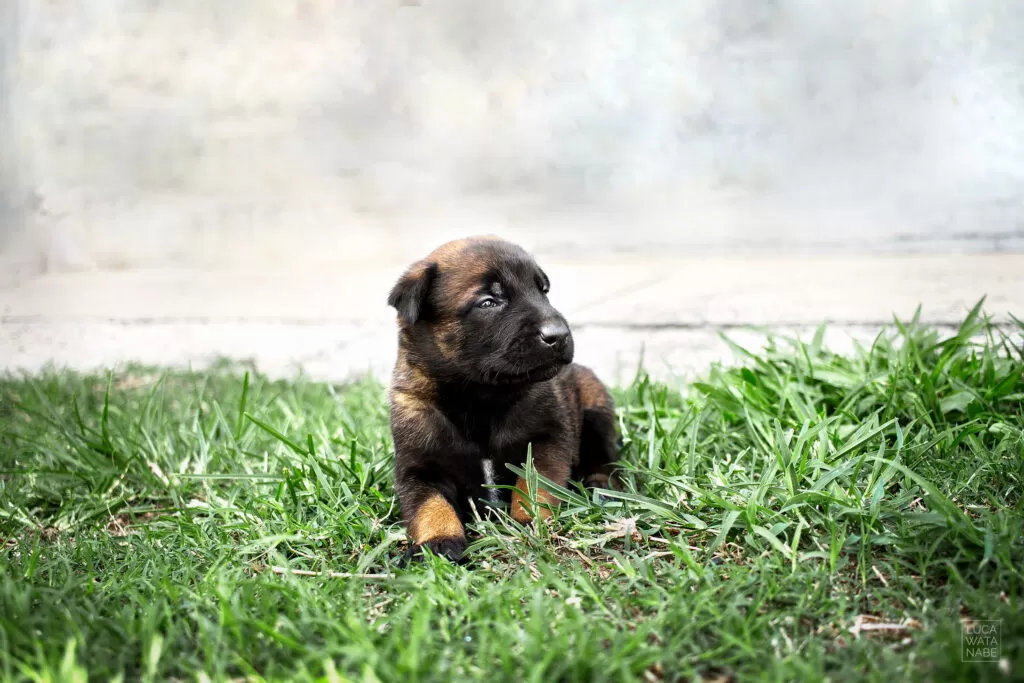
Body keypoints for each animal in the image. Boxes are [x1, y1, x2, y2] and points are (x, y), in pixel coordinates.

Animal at [387, 237, 618, 565]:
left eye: (542, 290)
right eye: (488, 302)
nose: (559, 335)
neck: (478, 398)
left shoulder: (546, 439)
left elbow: (533, 483)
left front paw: (528, 520)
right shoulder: (418, 467)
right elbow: (428, 505)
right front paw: (438, 541)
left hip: (595, 409)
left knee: (603, 455)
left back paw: (602, 485)